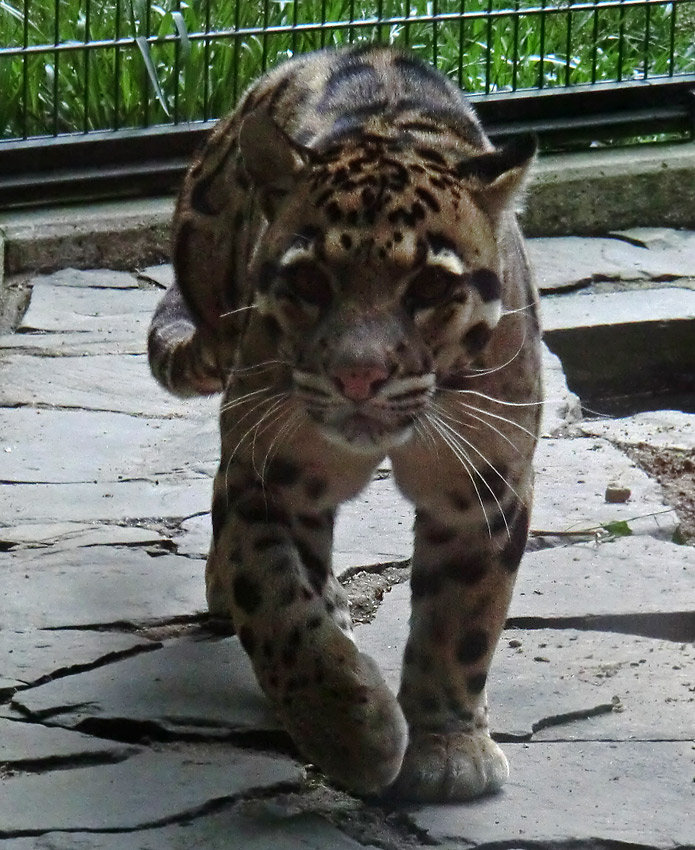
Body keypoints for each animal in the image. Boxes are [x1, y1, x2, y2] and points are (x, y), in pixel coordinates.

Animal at [148, 44, 544, 800]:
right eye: (308, 281)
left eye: (430, 286)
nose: (358, 376)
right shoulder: (272, 468)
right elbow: (279, 607)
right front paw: (352, 729)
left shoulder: (483, 480)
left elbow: (463, 618)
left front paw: (448, 746)